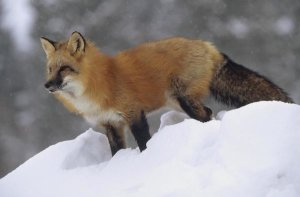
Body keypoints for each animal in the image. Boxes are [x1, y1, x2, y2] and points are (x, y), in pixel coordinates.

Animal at [39, 31, 292, 155]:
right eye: (50, 69)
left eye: (64, 68)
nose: (47, 85)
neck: (97, 83)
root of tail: (207, 45)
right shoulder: (110, 124)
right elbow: (116, 151)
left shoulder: (134, 113)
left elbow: (143, 142)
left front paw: (145, 159)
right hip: (179, 102)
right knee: (208, 112)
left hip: (185, 100)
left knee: (206, 115)